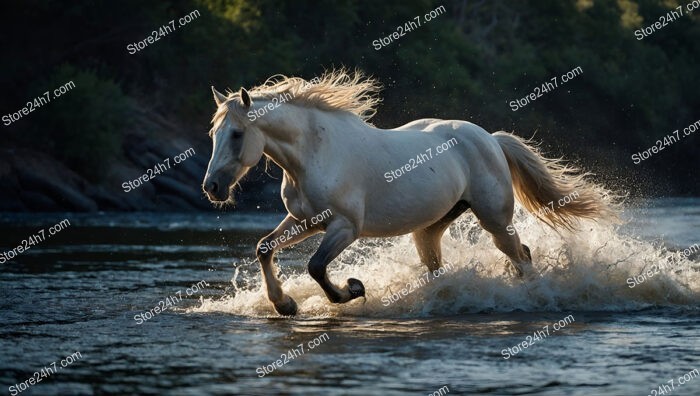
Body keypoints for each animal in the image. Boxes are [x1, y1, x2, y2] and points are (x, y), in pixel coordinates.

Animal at [202, 69, 612, 316]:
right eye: (213, 133)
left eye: (236, 134)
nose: (212, 188)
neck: (315, 152)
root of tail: (491, 139)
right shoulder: (305, 221)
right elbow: (264, 248)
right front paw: (285, 304)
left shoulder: (345, 227)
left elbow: (316, 266)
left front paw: (352, 290)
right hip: (430, 228)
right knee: (440, 266)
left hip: (495, 219)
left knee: (522, 255)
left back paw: (528, 297)